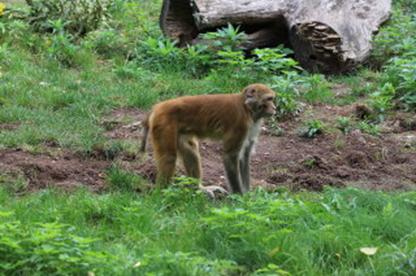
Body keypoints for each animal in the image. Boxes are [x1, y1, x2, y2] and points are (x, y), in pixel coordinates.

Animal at [141, 83, 276, 194]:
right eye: (269, 99)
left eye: (272, 99)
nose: (274, 108)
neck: (247, 108)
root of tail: (158, 106)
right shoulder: (240, 125)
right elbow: (230, 156)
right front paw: (239, 196)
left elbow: (245, 157)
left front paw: (248, 195)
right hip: (163, 122)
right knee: (169, 157)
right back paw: (161, 193)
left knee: (189, 149)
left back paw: (198, 189)